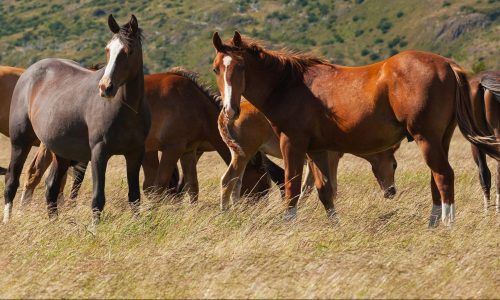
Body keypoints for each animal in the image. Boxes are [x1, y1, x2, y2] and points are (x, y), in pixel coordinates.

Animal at [3, 15, 149, 224]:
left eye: (129, 51)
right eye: (107, 50)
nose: (105, 87)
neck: (127, 109)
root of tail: (28, 73)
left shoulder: (135, 153)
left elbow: (134, 197)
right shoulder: (99, 152)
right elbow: (98, 198)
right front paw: (94, 229)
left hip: (60, 151)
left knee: (51, 187)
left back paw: (54, 224)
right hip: (20, 142)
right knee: (11, 180)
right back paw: (7, 221)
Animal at [218, 99, 398, 210]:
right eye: (395, 165)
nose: (392, 192)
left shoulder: (311, 163)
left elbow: (307, 188)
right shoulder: (331, 158)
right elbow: (332, 187)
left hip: (241, 156)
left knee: (237, 182)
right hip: (243, 155)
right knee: (228, 180)